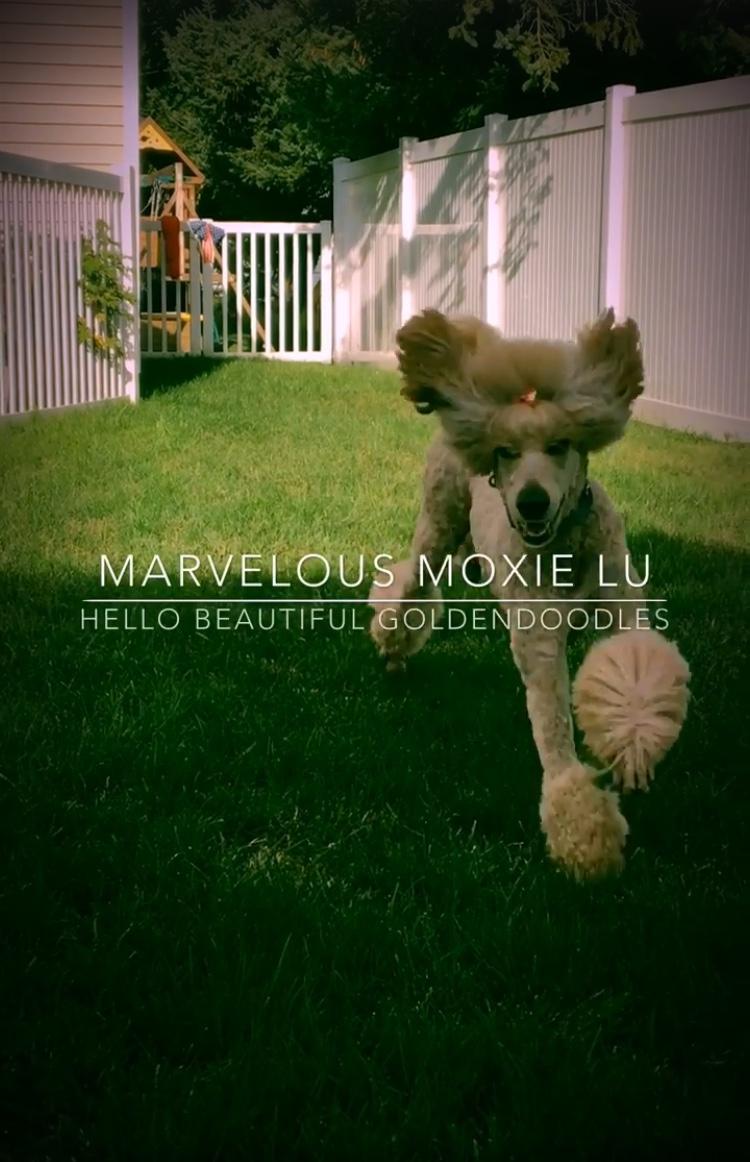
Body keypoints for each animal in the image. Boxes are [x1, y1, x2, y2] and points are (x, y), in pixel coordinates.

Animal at [369, 309, 690, 879]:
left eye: (560, 445)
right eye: (506, 452)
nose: (532, 502)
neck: (562, 543)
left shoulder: (622, 598)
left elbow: (633, 665)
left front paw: (632, 748)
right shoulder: (539, 639)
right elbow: (554, 730)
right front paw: (585, 837)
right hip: (438, 521)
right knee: (410, 587)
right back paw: (393, 648)